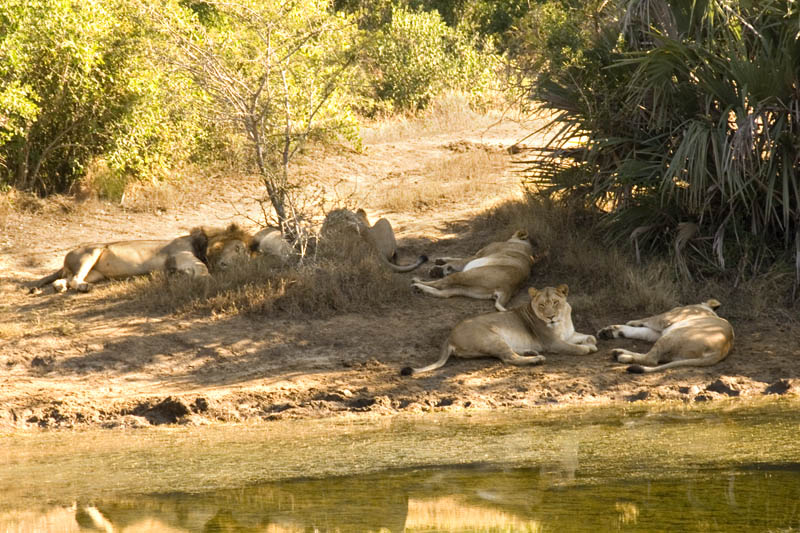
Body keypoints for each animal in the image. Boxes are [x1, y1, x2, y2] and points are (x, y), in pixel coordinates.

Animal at [401, 284, 597, 375]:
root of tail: (449, 337)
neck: (562, 319)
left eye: (555, 302)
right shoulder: (553, 343)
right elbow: (576, 348)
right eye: (542, 305)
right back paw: (536, 359)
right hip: (494, 338)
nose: (550, 317)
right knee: (509, 358)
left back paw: (530, 352)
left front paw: (591, 342)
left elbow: (589, 336)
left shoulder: (568, 334)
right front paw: (587, 348)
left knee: (510, 355)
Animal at [597, 299, 734, 373]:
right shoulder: (657, 332)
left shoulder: (666, 318)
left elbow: (648, 319)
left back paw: (621, 355)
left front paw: (630, 322)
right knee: (657, 358)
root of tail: (720, 351)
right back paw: (619, 350)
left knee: (651, 359)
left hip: (672, 335)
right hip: (674, 347)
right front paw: (610, 331)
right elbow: (638, 331)